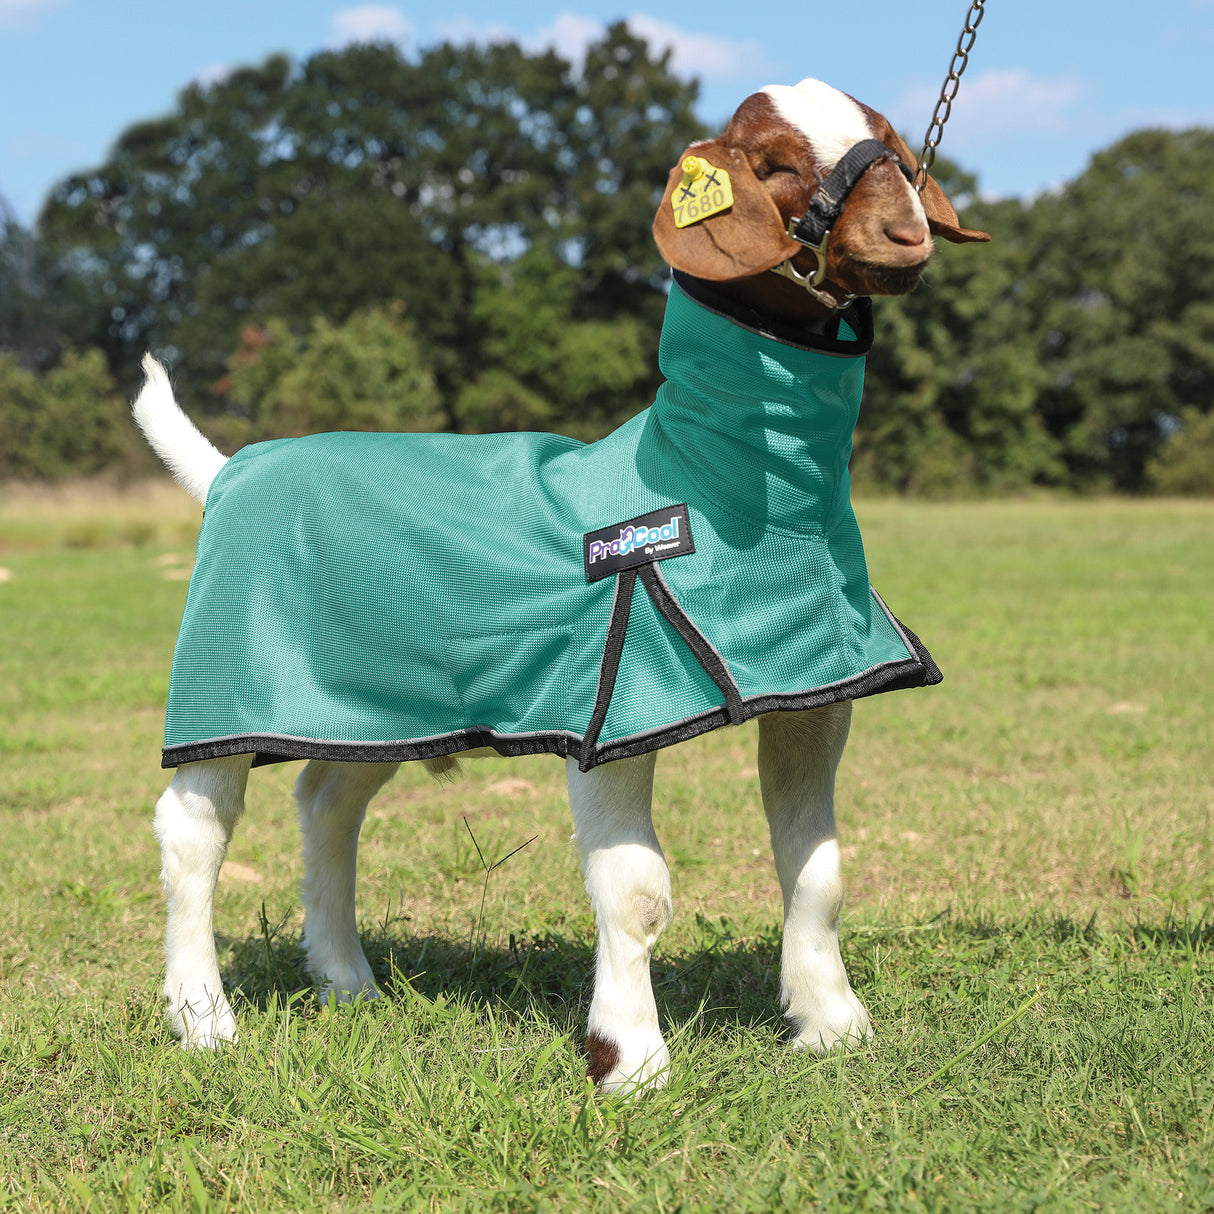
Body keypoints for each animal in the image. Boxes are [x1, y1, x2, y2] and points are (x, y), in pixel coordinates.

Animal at [133, 78, 987, 1094]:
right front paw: (631, 1059)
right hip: (227, 685)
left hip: (373, 699)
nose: (905, 233)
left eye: (889, 142)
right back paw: (203, 1019)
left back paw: (345, 980)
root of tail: (229, 471)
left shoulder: (812, 694)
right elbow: (638, 890)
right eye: (776, 163)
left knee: (328, 802)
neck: (719, 486)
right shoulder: (613, 704)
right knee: (194, 833)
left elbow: (817, 871)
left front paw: (831, 1025)